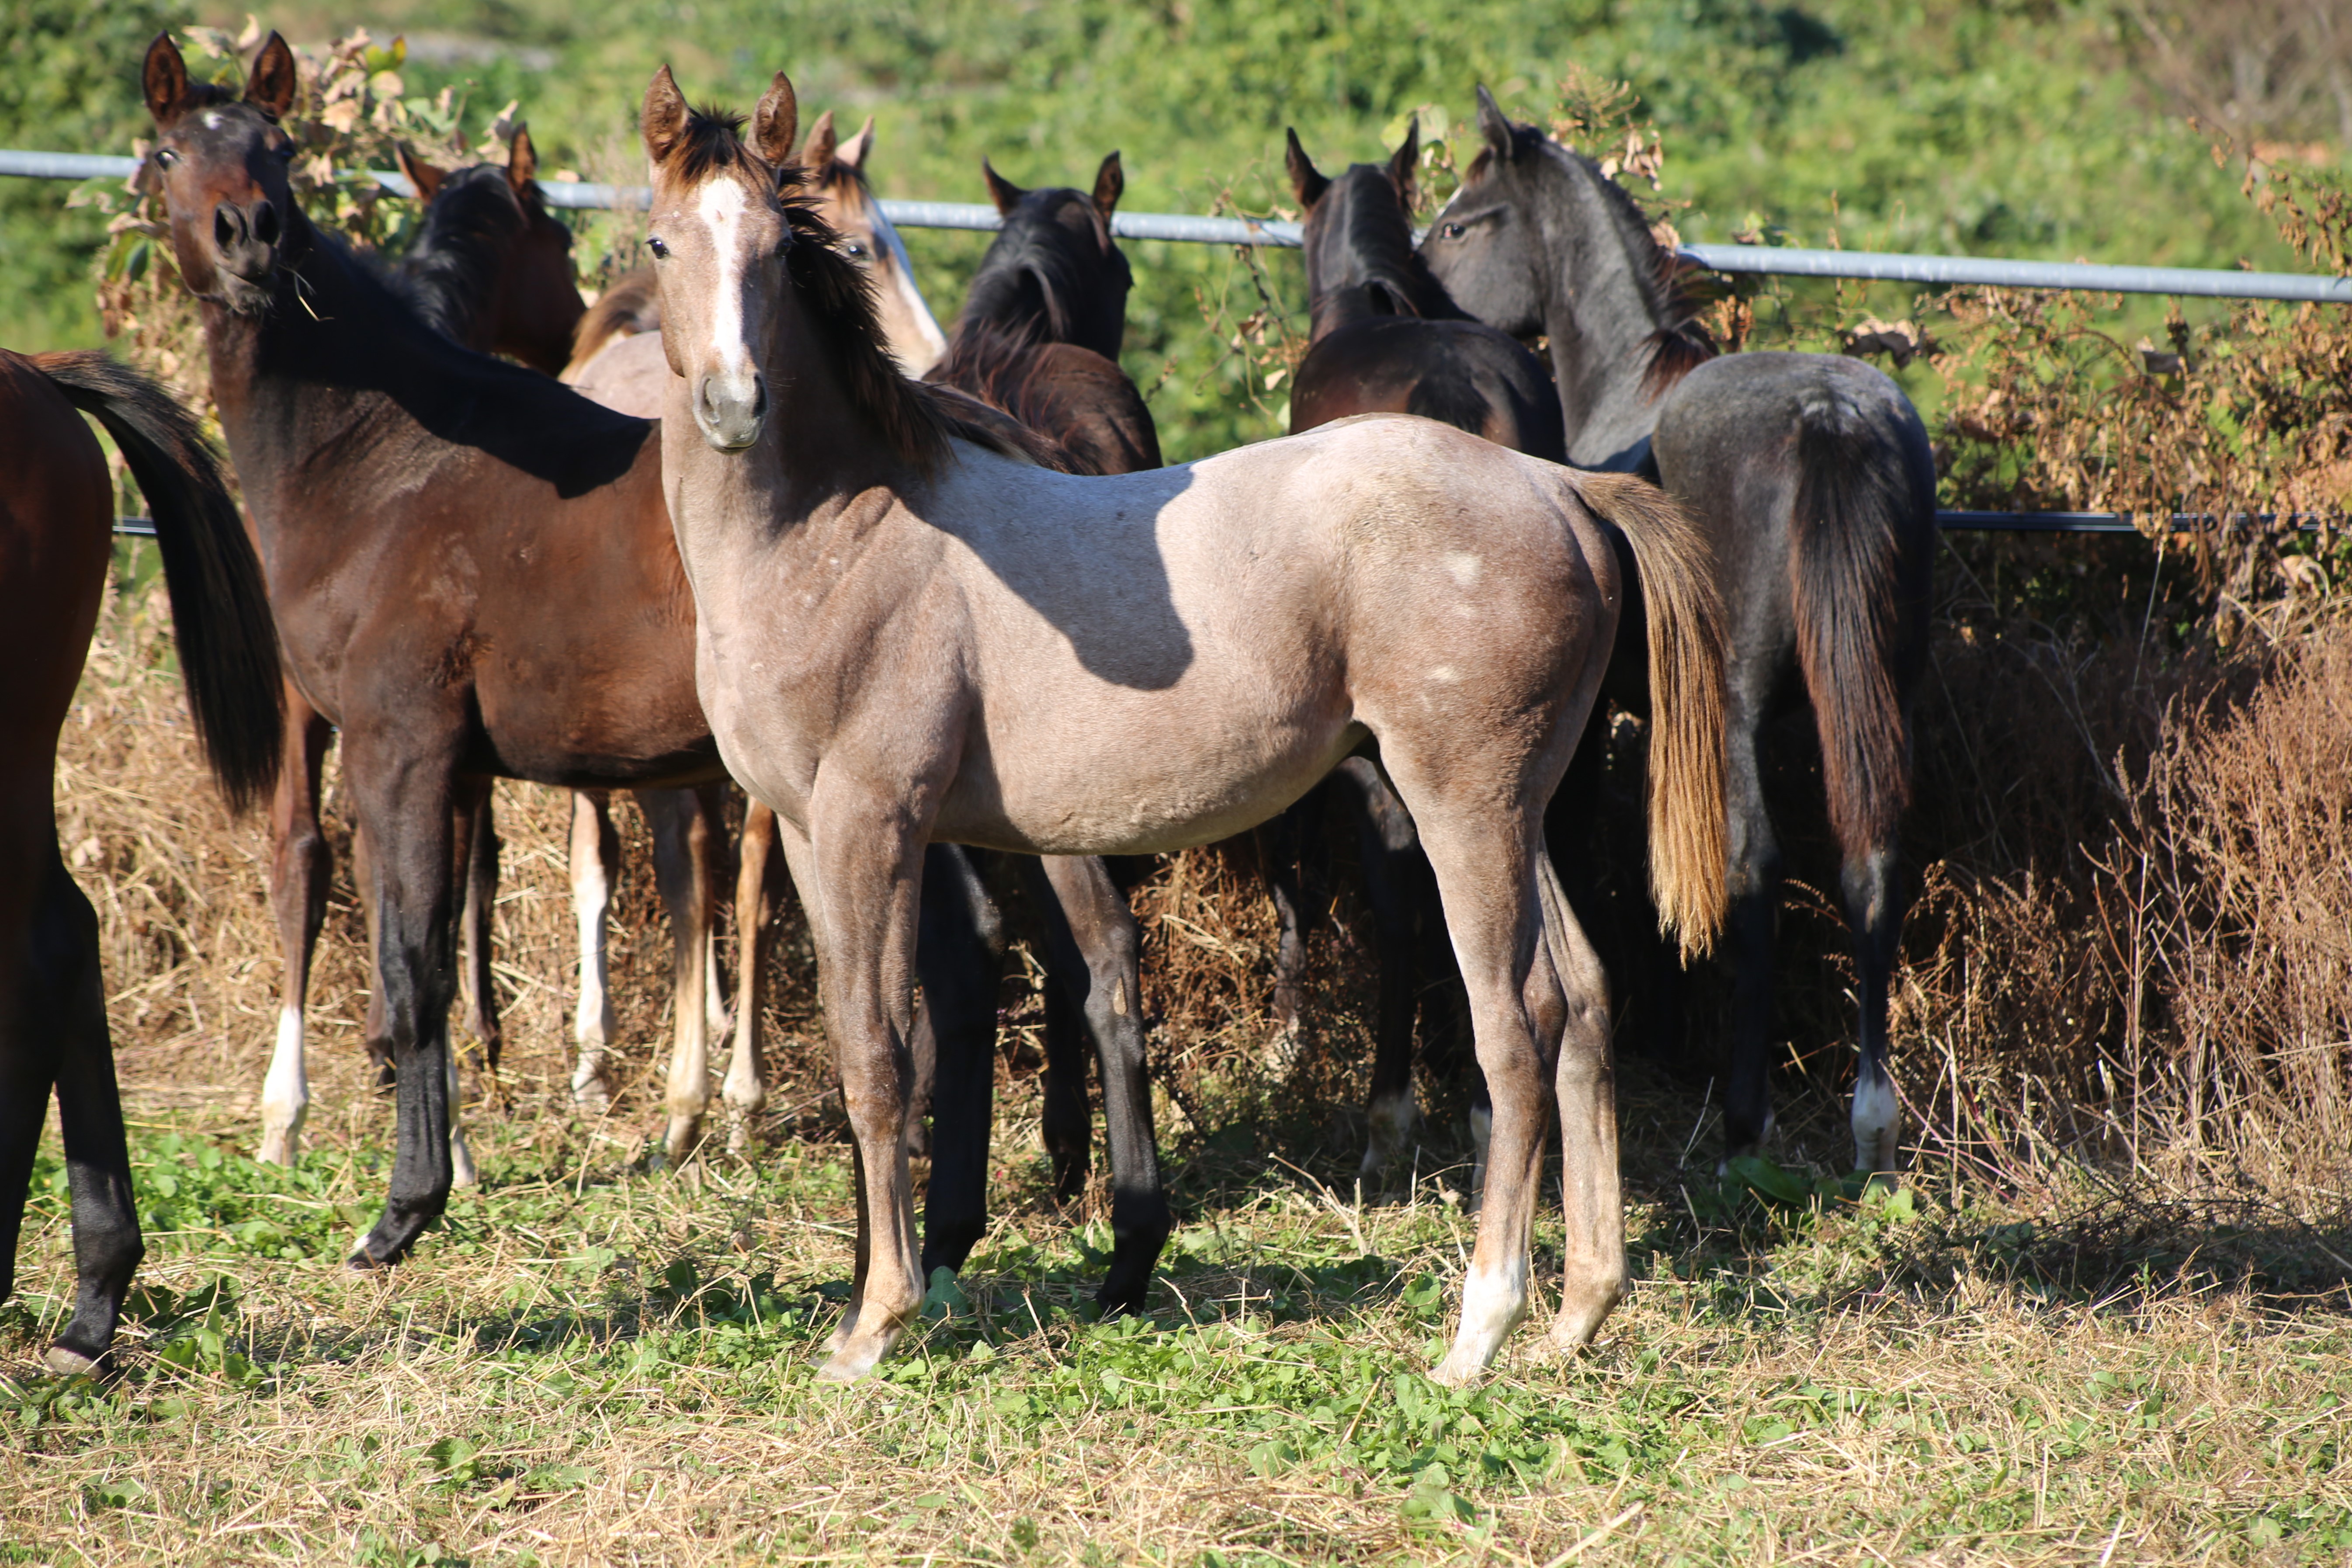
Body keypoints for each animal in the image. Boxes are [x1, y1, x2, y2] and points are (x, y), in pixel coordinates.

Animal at [639, 67, 1731, 1382]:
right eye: (659, 243)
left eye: (775, 250)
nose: (731, 406)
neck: (836, 531)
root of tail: (1561, 489)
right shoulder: (808, 831)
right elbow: (875, 1055)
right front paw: (871, 1300)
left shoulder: (872, 825)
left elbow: (884, 1053)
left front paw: (876, 1323)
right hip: (1518, 816)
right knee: (1581, 1000)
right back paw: (1575, 1313)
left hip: (1461, 809)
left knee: (1513, 1026)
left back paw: (1478, 1330)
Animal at [1420, 83, 1938, 1166]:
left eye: (1458, 223)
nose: (1413, 292)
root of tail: (1829, 415)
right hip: (1885, 686)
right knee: (1873, 859)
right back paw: (1872, 1123)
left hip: (1737, 705)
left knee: (1756, 870)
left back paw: (1748, 1115)